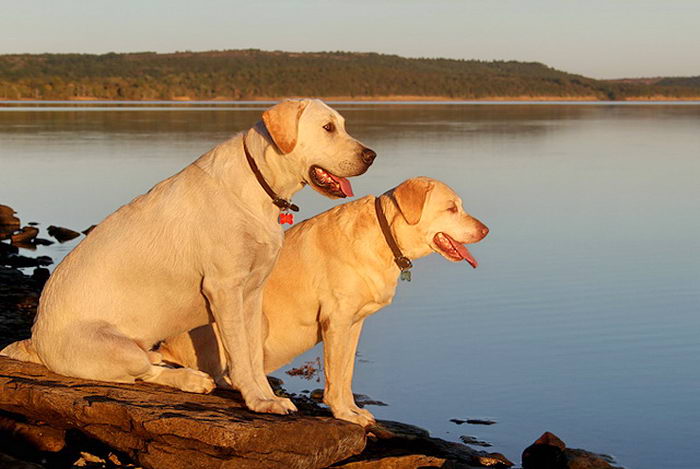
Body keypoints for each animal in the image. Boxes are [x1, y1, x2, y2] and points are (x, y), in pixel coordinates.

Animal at [1, 98, 378, 414]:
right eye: (328, 128)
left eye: (343, 125)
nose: (371, 155)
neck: (259, 184)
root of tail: (35, 340)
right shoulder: (225, 289)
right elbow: (241, 356)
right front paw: (258, 401)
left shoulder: (252, 292)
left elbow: (254, 354)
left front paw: (268, 397)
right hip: (114, 346)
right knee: (144, 372)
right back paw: (190, 379)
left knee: (152, 363)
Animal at [158, 176, 486, 424]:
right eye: (451, 208)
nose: (486, 230)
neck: (384, 237)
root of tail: (166, 345)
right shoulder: (336, 321)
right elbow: (334, 375)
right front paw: (344, 414)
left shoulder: (354, 324)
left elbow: (346, 374)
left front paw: (353, 410)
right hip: (251, 319)